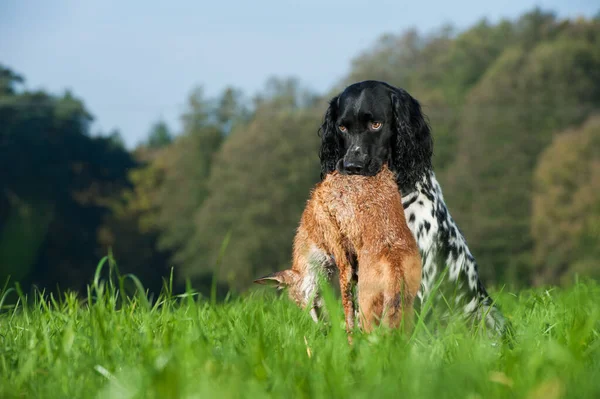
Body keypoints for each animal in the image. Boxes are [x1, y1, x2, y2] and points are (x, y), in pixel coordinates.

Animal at [253, 165, 422, 338]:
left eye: (300, 302)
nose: (321, 329)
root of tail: (393, 260)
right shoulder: (354, 269)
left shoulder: (341, 256)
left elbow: (349, 317)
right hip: (407, 310)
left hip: (368, 310)